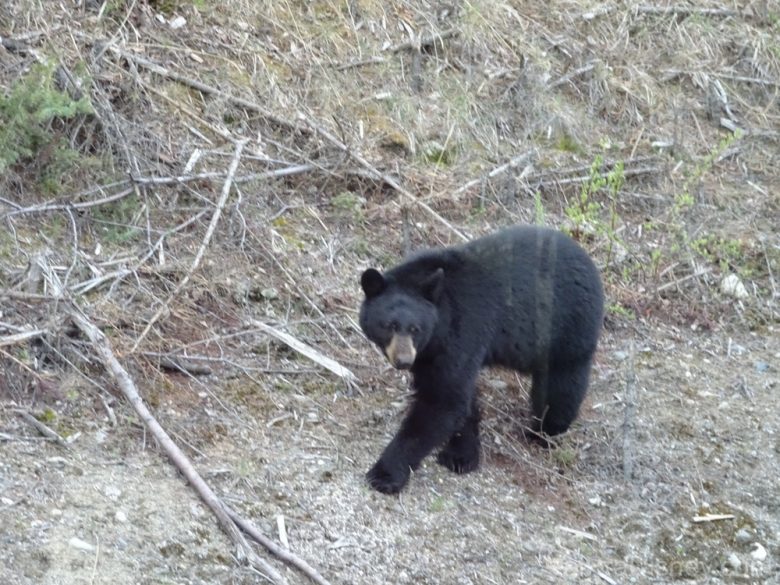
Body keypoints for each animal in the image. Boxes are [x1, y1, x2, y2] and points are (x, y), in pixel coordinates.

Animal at [358, 225, 604, 492]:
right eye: (388, 325)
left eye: (415, 329)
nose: (403, 360)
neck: (442, 318)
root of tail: (590, 263)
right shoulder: (431, 353)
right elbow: (458, 399)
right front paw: (460, 455)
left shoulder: (463, 329)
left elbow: (442, 401)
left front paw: (384, 474)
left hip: (567, 325)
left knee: (561, 385)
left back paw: (545, 431)